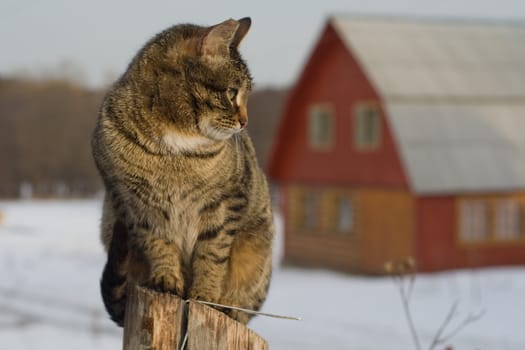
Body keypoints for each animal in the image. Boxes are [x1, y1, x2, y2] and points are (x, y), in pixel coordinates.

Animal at [91, 17, 274, 326]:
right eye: (231, 92)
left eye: (247, 94)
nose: (245, 122)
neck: (173, 149)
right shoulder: (133, 205)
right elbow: (158, 243)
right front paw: (167, 279)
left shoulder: (226, 204)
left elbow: (212, 253)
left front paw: (205, 293)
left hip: (258, 249)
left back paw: (229, 307)